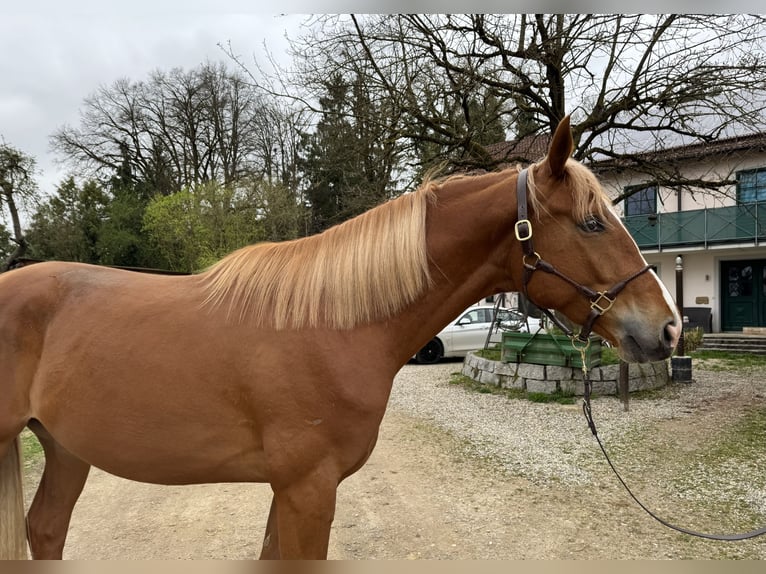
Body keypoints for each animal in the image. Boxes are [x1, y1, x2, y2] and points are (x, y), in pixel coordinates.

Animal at [0, 116, 680, 560]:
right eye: (592, 223)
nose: (669, 326)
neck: (331, 327)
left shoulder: (289, 491)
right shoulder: (307, 489)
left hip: (67, 449)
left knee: (46, 529)